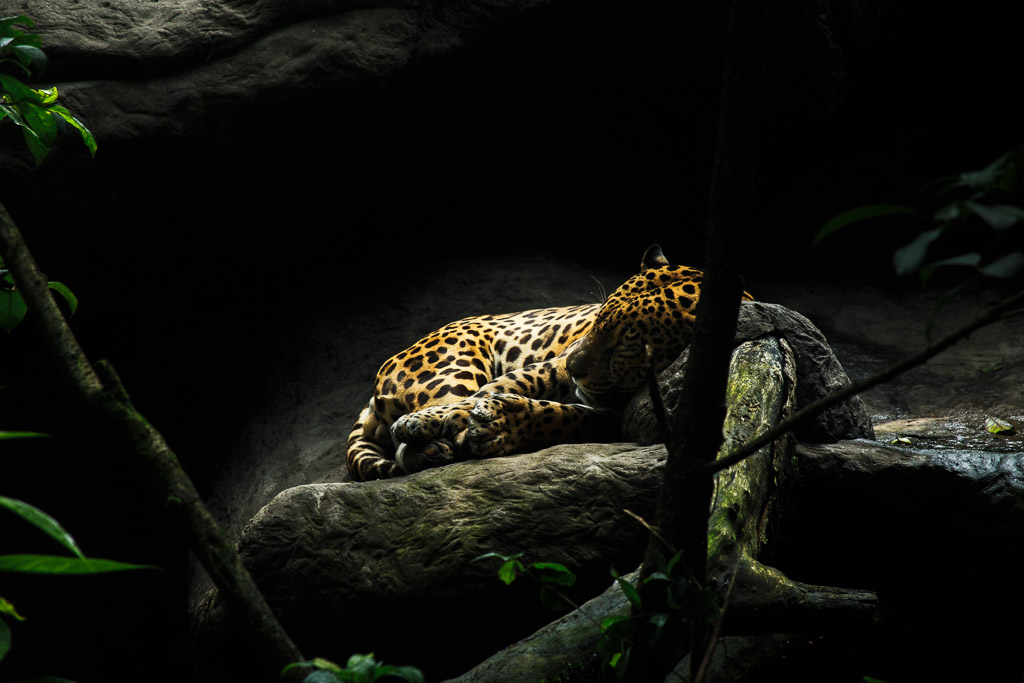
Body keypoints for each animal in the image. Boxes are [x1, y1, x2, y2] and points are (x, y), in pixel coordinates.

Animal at [346, 244, 751, 481]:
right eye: (598, 319)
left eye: (629, 341)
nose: (574, 369)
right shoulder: (555, 363)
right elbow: (503, 387)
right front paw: (444, 421)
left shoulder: (610, 415)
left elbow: (563, 418)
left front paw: (500, 426)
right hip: (452, 366)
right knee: (404, 446)